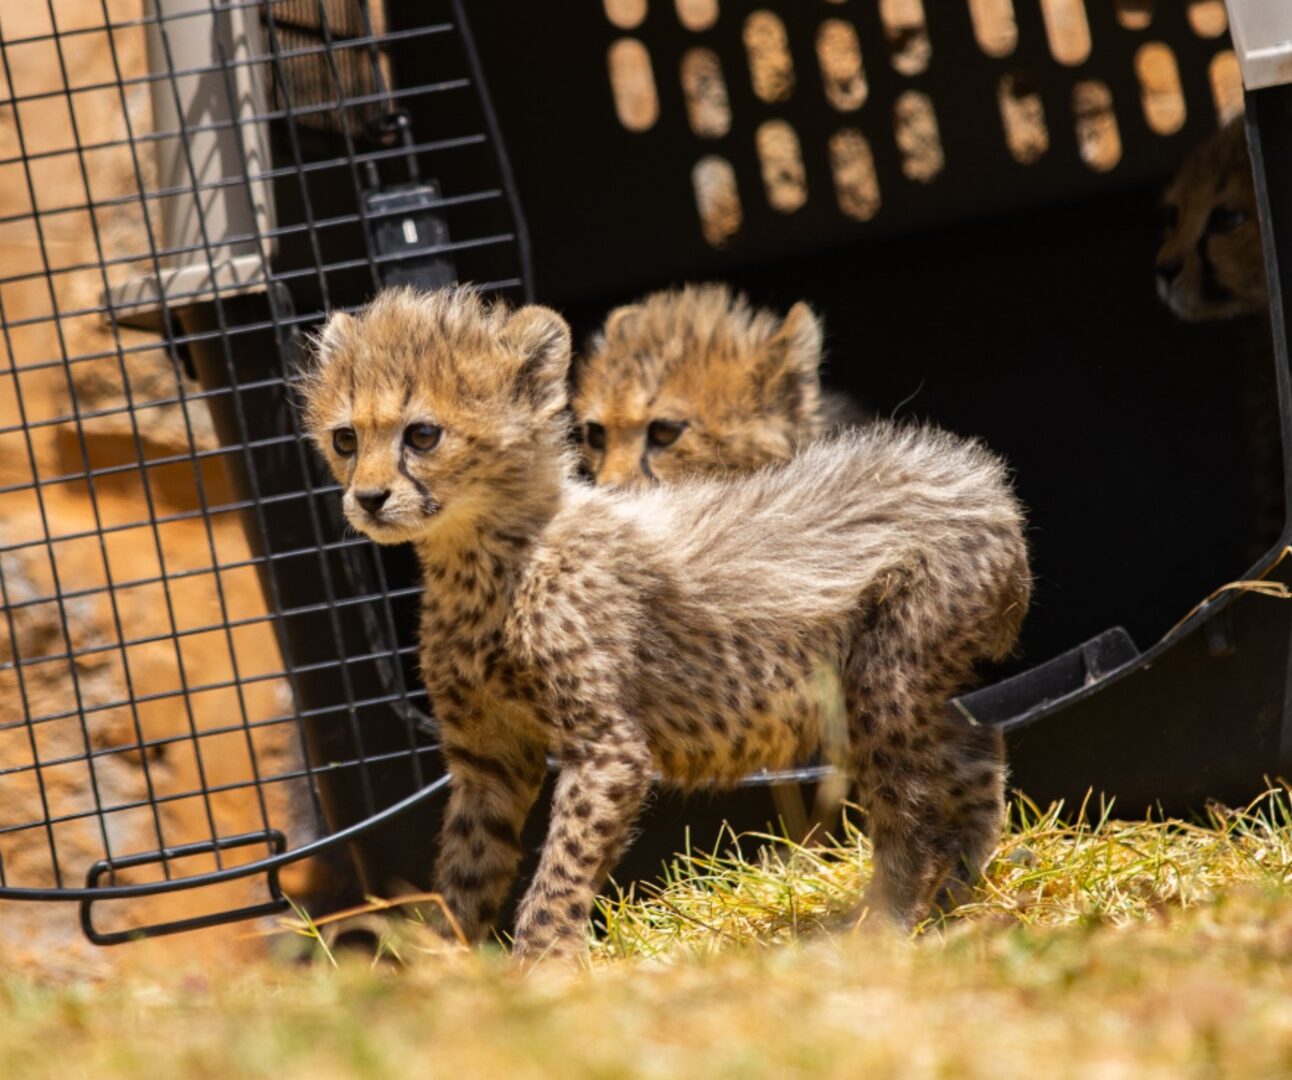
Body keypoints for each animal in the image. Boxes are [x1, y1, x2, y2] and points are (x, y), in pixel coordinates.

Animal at [299, 285, 1031, 962]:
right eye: (346, 439)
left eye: (422, 435)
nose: (368, 498)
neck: (480, 553)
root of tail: (980, 478)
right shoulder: (488, 761)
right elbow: (465, 874)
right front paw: (441, 971)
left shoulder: (608, 750)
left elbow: (559, 872)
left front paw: (543, 964)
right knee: (975, 751)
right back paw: (963, 891)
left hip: (884, 683)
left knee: (915, 811)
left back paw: (883, 926)